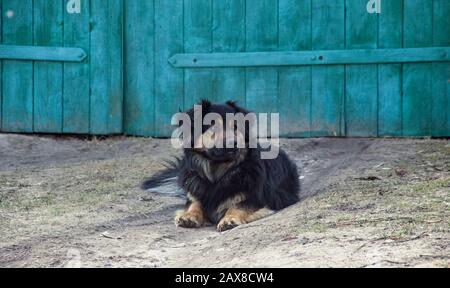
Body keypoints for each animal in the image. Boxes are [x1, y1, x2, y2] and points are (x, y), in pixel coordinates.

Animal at [142, 101, 300, 232]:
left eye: (235, 127)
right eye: (214, 127)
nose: (233, 143)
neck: (217, 173)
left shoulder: (256, 198)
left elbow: (237, 206)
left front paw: (229, 219)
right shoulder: (195, 194)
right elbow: (193, 204)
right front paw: (189, 216)